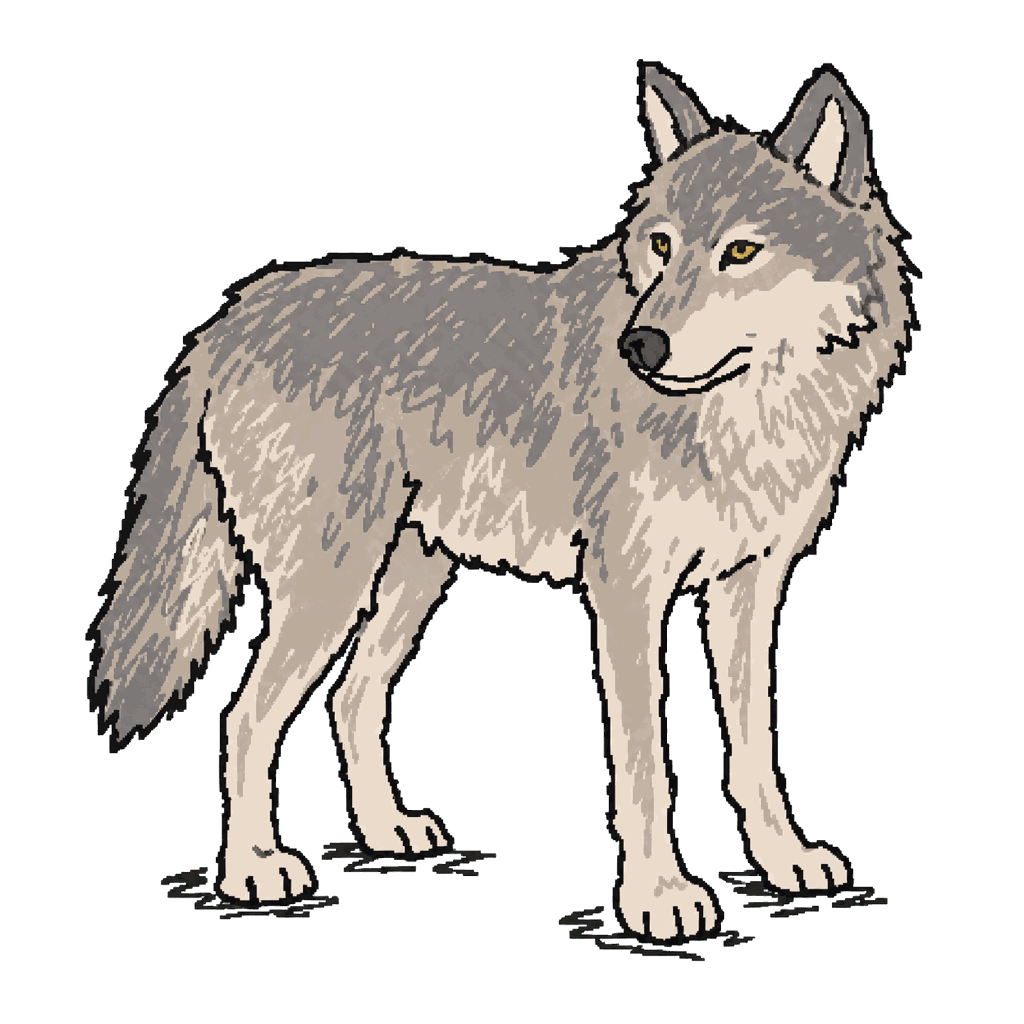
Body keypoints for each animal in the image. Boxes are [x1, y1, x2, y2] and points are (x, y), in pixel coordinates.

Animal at [90, 63, 910, 940]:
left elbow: (754, 746)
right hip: (332, 586)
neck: (742, 414)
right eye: (661, 246)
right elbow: (646, 766)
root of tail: (229, 319)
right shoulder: (627, 595)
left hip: (408, 583)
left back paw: (386, 830)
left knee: (349, 699)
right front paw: (658, 896)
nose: (639, 345)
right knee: (247, 718)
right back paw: (252, 868)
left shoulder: (749, 591)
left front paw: (783, 860)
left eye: (742, 251)